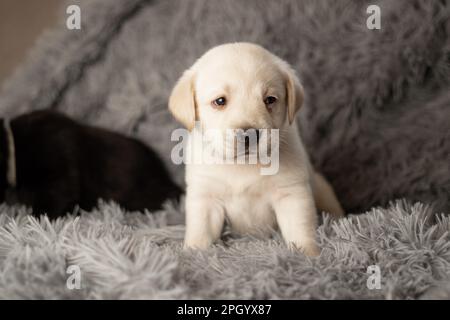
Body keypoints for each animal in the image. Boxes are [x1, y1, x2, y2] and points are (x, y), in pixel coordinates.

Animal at [170, 43, 344, 258]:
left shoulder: (292, 194)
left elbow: (300, 230)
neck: (243, 165)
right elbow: (201, 232)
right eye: (220, 101)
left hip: (322, 189)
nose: (249, 135)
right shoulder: (205, 198)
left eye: (270, 99)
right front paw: (194, 254)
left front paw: (308, 256)